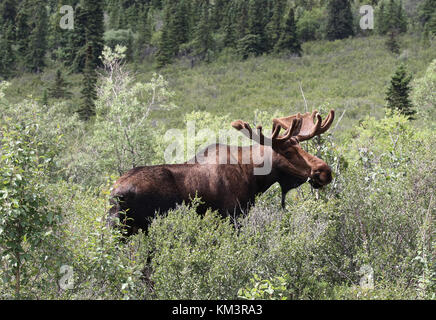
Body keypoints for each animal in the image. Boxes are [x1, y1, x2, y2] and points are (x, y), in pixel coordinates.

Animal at [108, 110, 334, 235]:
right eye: (287, 151)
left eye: (301, 146)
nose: (325, 171)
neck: (254, 178)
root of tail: (115, 195)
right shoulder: (232, 216)